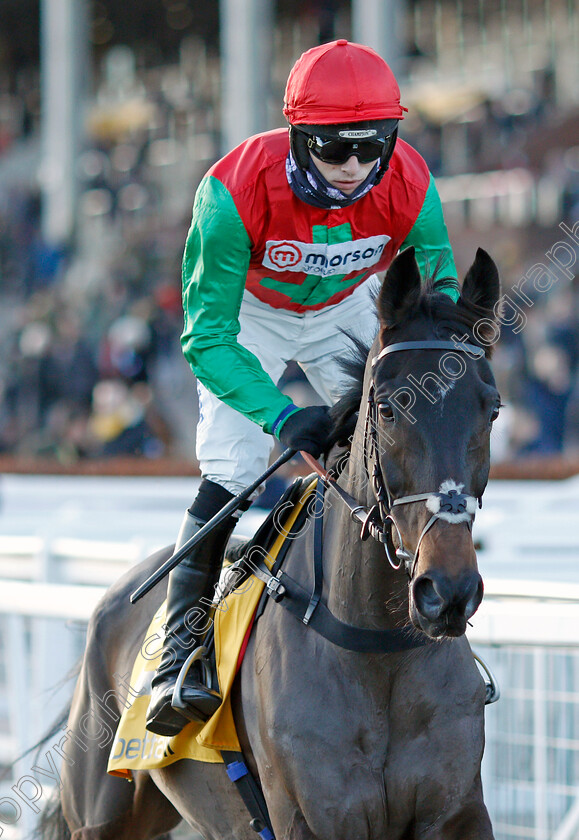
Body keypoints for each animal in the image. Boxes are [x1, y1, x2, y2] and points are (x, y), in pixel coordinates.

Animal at [47, 246, 502, 836]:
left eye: (492, 409)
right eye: (387, 408)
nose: (447, 592)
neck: (377, 649)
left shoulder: (457, 812)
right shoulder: (310, 815)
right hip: (100, 812)